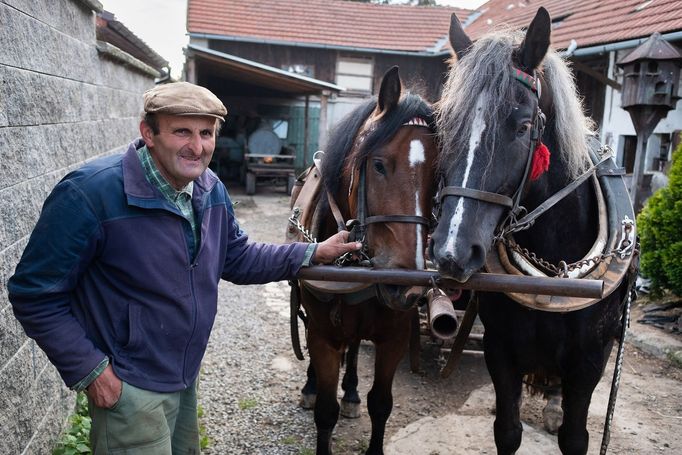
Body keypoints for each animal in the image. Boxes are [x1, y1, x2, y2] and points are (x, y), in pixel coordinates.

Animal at [292, 67, 436, 455]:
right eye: (379, 165)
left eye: (439, 174)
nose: (407, 287)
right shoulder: (323, 336)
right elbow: (326, 411)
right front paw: (319, 393)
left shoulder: (395, 338)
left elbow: (381, 404)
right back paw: (310, 387)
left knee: (355, 347)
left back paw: (352, 391)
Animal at [430, 7, 632, 455]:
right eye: (445, 124)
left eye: (523, 127)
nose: (452, 253)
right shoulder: (500, 349)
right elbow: (507, 430)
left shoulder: (590, 362)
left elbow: (575, 437)